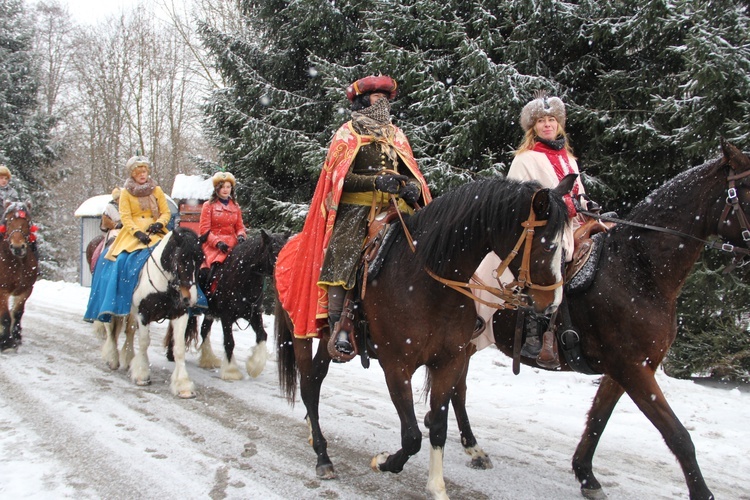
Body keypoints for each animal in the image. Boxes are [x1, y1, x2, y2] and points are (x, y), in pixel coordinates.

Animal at [0, 201, 39, 354]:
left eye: (27, 221)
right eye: (9, 220)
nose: (17, 247)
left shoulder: (26, 290)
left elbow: (17, 313)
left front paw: (16, 337)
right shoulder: (2, 291)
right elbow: (5, 316)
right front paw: (6, 343)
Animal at [276, 176, 576, 496]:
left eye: (566, 248)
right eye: (548, 245)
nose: (552, 304)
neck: (427, 280)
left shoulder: (449, 362)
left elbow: (439, 426)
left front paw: (437, 486)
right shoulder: (396, 366)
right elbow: (412, 436)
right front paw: (383, 461)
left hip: (327, 341)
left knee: (316, 379)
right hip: (301, 333)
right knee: (308, 386)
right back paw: (322, 456)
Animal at [452, 140, 750, 500]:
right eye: (748, 189)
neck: (638, 271)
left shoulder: (626, 369)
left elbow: (597, 420)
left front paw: (586, 476)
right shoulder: (632, 369)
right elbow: (678, 435)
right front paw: (702, 492)